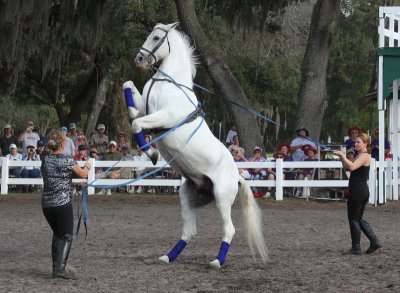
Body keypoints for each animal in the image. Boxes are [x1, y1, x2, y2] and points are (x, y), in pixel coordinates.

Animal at [122, 23, 266, 270]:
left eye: (157, 37)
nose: (139, 59)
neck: (168, 82)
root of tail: (237, 176)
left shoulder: (165, 116)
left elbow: (136, 124)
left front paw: (151, 153)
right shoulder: (145, 109)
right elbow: (129, 92)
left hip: (222, 198)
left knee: (229, 229)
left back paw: (217, 261)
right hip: (188, 196)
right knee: (189, 231)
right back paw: (167, 257)